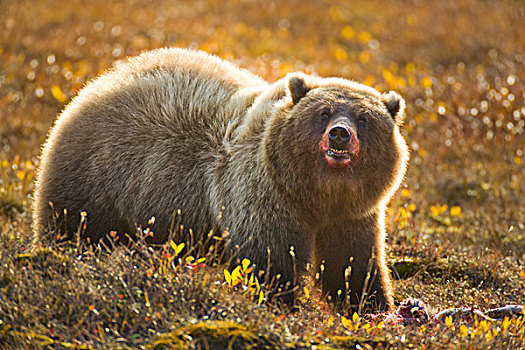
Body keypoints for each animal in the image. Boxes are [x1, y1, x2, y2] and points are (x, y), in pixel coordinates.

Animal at [33, 47, 410, 312]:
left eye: (363, 117)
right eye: (324, 112)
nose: (339, 135)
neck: (319, 194)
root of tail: (92, 87)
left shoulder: (354, 214)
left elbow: (352, 264)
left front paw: (373, 307)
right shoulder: (263, 193)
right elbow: (269, 257)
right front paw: (279, 303)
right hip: (97, 179)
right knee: (73, 227)